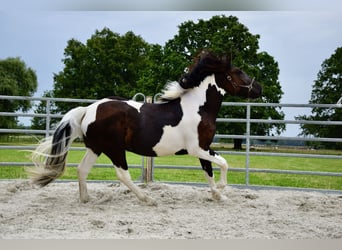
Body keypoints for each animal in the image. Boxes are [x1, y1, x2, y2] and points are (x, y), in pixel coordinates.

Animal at [30, 50, 264, 205]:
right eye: (239, 71)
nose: (259, 88)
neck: (199, 107)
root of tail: (88, 110)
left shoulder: (204, 148)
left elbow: (209, 172)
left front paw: (218, 195)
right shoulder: (198, 148)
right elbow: (223, 163)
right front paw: (223, 189)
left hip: (96, 148)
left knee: (82, 169)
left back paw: (86, 198)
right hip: (115, 150)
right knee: (122, 175)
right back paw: (148, 198)